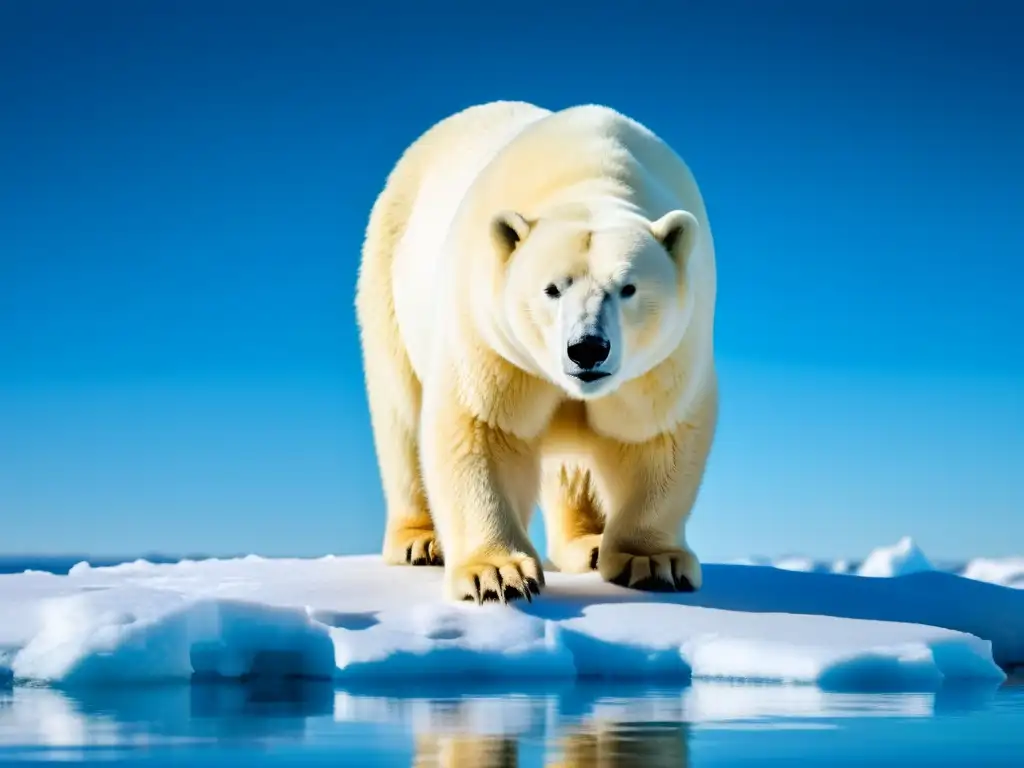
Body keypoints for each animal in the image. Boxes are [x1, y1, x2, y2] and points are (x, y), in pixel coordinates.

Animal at [356, 100, 716, 606]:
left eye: (628, 288)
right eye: (552, 288)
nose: (588, 349)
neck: (590, 179)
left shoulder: (669, 356)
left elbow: (655, 433)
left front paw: (654, 561)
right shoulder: (492, 337)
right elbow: (484, 426)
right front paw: (496, 575)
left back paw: (588, 545)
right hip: (388, 278)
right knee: (401, 414)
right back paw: (421, 541)